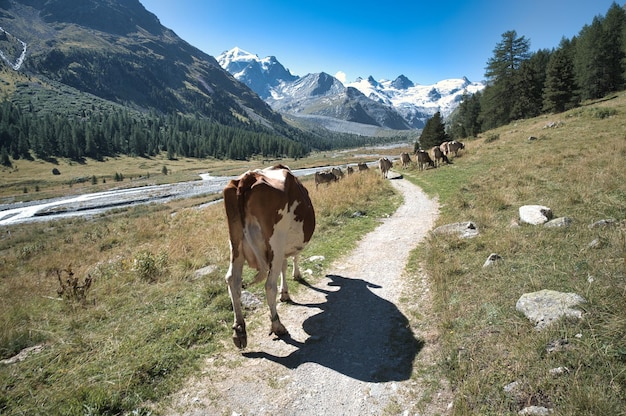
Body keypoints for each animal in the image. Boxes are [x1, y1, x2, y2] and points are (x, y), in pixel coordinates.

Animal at [222, 164, 314, 350]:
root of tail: (249, 176)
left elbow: (284, 266)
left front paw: (285, 293)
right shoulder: (284, 247)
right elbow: (293, 259)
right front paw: (294, 278)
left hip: (235, 245)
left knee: (232, 280)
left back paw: (239, 330)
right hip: (276, 240)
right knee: (269, 285)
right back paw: (277, 325)